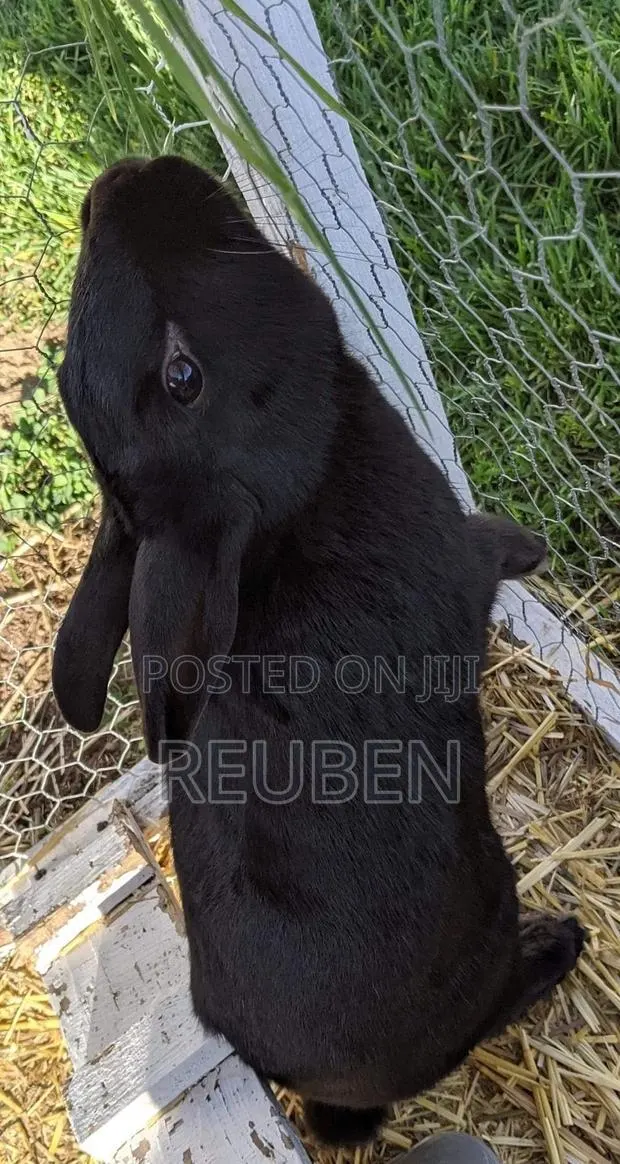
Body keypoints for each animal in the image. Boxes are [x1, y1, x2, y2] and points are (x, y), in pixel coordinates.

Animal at [53, 156, 585, 1147]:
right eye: (181, 375)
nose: (117, 181)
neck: (298, 497)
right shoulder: (459, 570)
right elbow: (490, 559)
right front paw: (527, 546)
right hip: (486, 916)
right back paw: (558, 947)